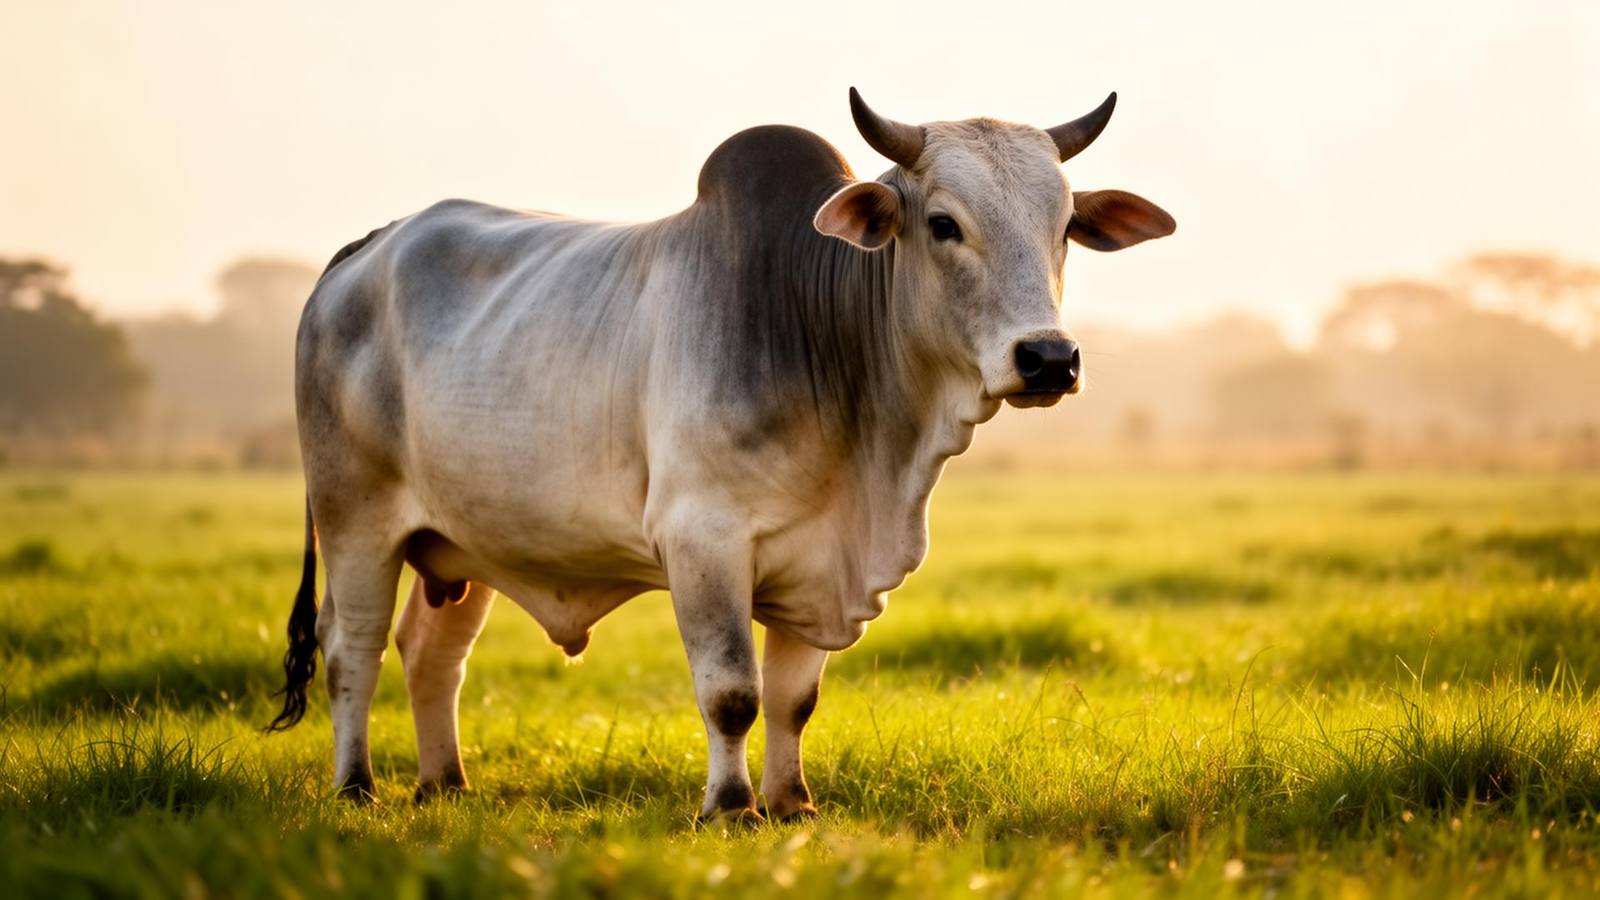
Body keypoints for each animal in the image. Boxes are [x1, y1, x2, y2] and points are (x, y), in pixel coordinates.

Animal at [267, 88, 1174, 822]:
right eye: (945, 223)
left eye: (1065, 227)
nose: (1049, 359)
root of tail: (365, 250)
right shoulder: (702, 541)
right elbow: (733, 692)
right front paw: (731, 807)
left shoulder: (818, 567)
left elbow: (794, 701)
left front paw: (791, 803)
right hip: (356, 521)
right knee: (352, 650)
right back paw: (357, 787)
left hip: (464, 543)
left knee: (433, 655)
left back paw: (444, 785)